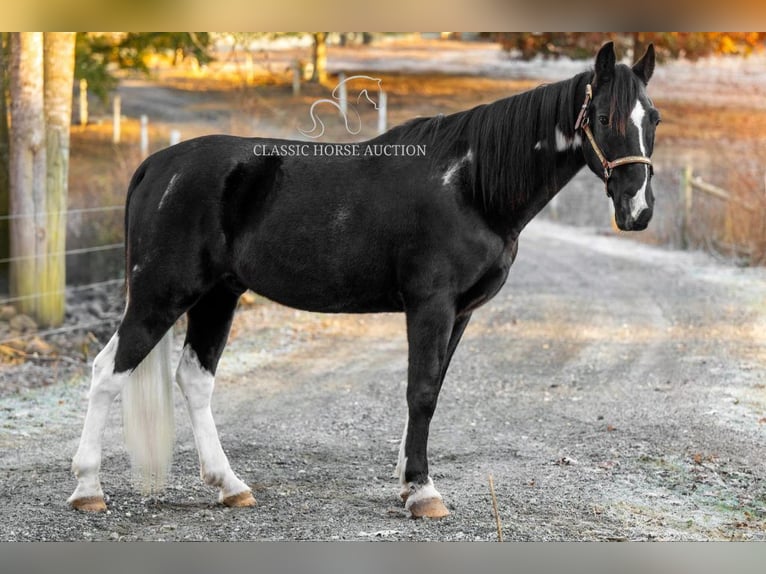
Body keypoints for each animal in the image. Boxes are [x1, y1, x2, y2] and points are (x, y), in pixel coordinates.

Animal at [69, 44, 664, 520]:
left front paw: (407, 480)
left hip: (218, 296)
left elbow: (432, 390)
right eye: (605, 116)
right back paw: (88, 489)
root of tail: (158, 165)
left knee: (194, 379)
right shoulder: (431, 304)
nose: (637, 209)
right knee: (107, 372)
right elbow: (420, 391)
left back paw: (230, 486)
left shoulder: (461, 313)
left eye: (653, 118)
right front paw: (423, 492)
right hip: (161, 294)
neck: (469, 186)